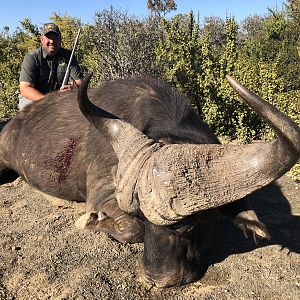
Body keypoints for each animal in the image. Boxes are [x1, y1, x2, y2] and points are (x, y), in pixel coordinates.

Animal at [0, 74, 298, 288]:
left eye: (190, 226)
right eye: (143, 218)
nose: (157, 279)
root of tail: (14, 124)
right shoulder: (101, 196)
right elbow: (130, 230)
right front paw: (93, 222)